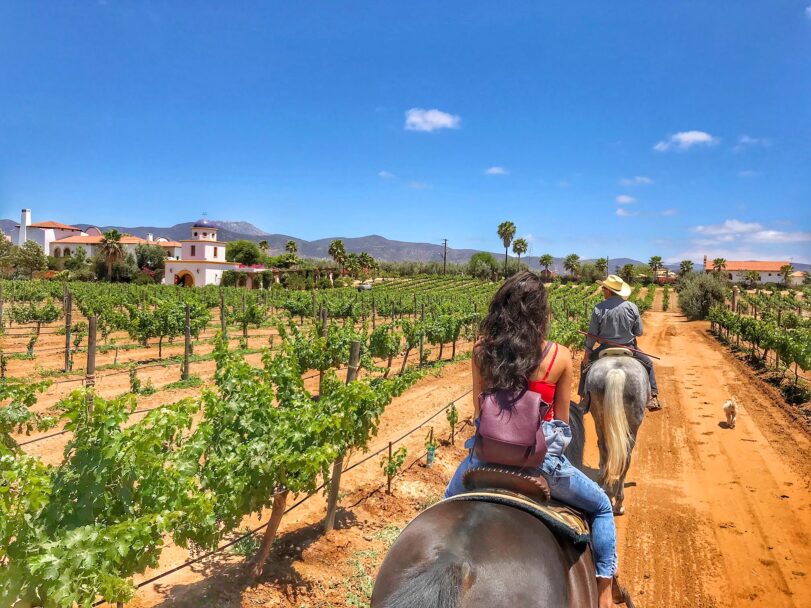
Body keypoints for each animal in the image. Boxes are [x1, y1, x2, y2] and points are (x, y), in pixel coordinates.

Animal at [584, 354, 648, 516]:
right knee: (626, 457)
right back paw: (619, 504)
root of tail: (617, 371)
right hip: (633, 423)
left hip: (597, 413)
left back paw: (604, 483)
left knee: (604, 446)